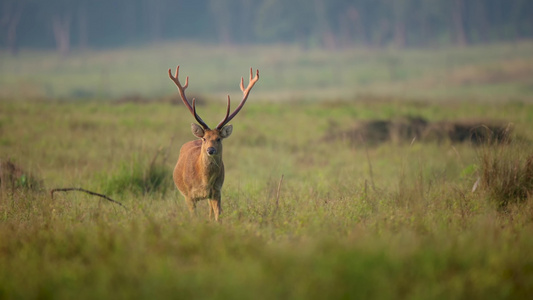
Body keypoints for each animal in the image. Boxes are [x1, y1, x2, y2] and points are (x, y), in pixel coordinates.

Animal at [166, 65, 258, 220]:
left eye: (219, 138)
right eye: (204, 138)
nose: (210, 150)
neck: (204, 181)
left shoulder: (217, 191)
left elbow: (217, 217)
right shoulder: (189, 196)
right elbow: (194, 218)